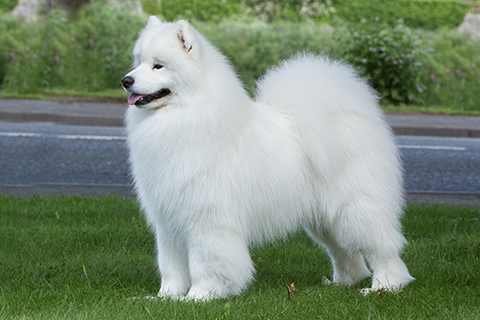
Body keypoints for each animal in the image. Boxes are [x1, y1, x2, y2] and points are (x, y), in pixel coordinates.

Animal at [122, 16, 414, 302]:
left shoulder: (208, 220)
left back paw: (385, 286)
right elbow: (171, 265)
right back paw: (343, 282)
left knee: (383, 248)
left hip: (354, 209)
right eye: (138, 63)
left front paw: (200, 296)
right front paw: (166, 297)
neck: (185, 115)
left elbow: (206, 263)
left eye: (158, 66)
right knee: (343, 251)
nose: (126, 80)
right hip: (324, 218)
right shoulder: (169, 221)